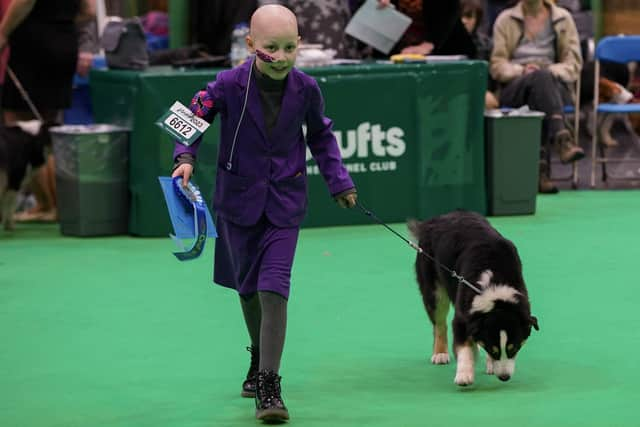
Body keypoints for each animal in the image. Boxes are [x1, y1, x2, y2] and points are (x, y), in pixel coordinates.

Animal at [408, 211, 536, 388]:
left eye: (514, 348)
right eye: (494, 349)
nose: (504, 377)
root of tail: (434, 220)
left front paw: (489, 363)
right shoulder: (462, 316)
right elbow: (463, 347)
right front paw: (464, 375)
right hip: (434, 289)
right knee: (439, 324)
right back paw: (440, 353)